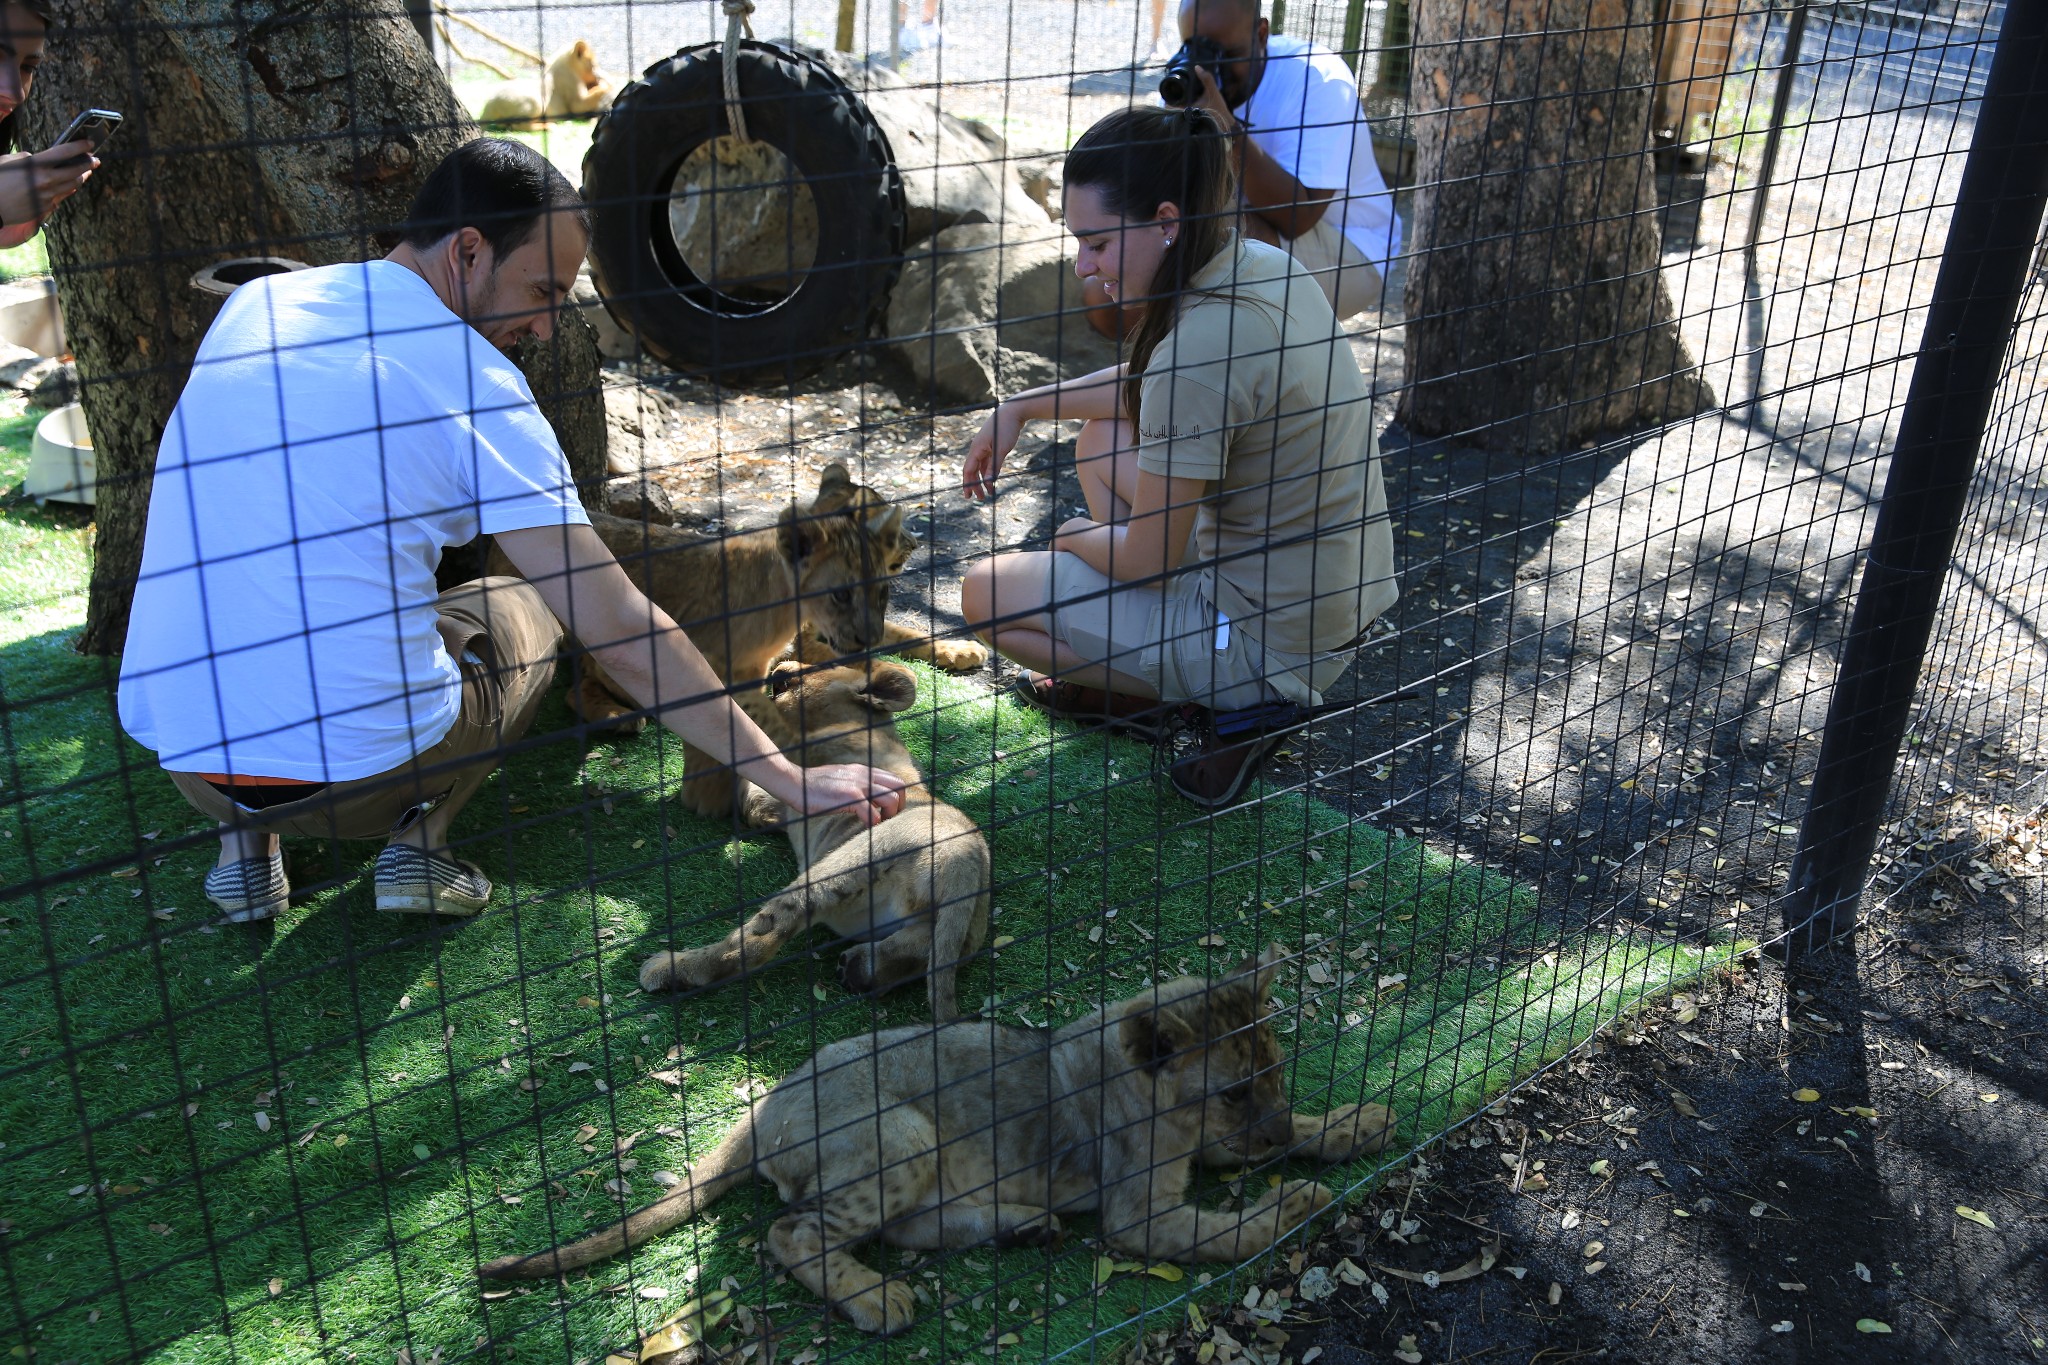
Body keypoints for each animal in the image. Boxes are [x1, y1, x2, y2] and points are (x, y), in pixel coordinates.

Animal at [487, 949, 1400, 1334]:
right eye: (1234, 1090)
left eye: (1274, 1072)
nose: (1270, 1123)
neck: (1151, 1093)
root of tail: (762, 1108)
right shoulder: (1142, 1215)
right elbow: (1233, 1227)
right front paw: (1297, 1196)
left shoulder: (1200, 1151)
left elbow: (1288, 1141)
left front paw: (1351, 1123)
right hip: (902, 1132)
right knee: (792, 1232)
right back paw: (877, 1300)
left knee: (908, 1228)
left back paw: (1022, 1225)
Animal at [638, 663, 991, 1023]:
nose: (781, 668)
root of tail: (962, 858)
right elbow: (753, 799)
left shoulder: (804, 755)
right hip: (963, 929)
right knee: (926, 949)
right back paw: (859, 969)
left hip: (837, 870)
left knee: (756, 942)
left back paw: (669, 968)